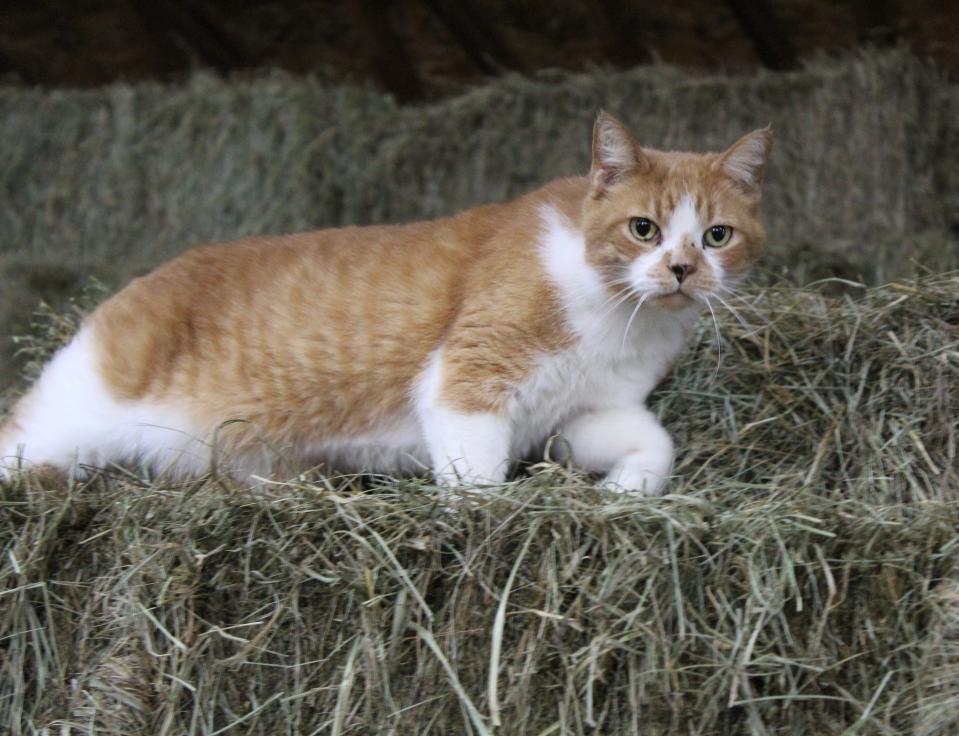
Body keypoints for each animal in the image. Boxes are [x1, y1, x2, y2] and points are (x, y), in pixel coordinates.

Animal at [0, 113, 768, 494]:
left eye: (716, 236)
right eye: (643, 229)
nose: (680, 270)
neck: (618, 316)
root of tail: (138, 284)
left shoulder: (581, 414)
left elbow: (656, 442)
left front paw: (626, 491)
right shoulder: (466, 385)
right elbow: (476, 485)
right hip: (71, 419)